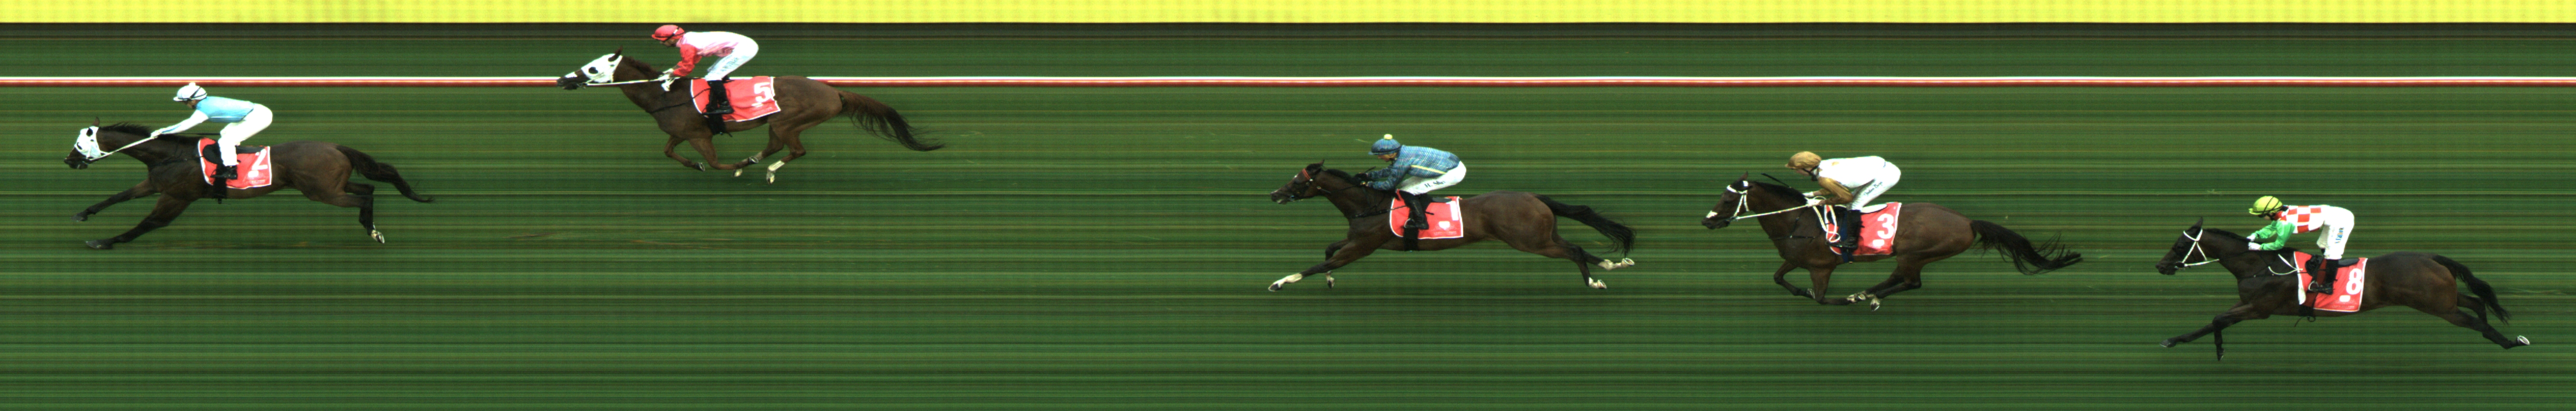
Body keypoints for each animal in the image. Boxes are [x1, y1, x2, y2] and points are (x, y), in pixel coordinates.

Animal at [61, 122, 435, 250]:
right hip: (329, 186)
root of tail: (336, 146)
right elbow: (116, 197)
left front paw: (104, 241)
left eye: (80, 143)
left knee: (362, 201)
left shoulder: (177, 196)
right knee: (368, 190)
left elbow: (148, 223)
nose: (68, 161)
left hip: (322, 192)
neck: (170, 156)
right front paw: (82, 214)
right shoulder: (154, 184)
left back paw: (373, 232)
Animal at [555, 50, 943, 183]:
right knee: (777, 147)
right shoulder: (681, 131)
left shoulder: (700, 135)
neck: (663, 95)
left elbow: (715, 163)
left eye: (592, 68)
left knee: (795, 150)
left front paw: (735, 166)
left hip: (789, 120)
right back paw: (758, 161)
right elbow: (668, 152)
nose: (561, 79)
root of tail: (835, 91)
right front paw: (699, 165)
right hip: (779, 123)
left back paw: (763, 168)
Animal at [1263, 162, 1638, 291]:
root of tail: (1533, 196)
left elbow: (1320, 263)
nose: (1274, 194)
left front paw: (1281, 281)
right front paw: (1329, 280)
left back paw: (1594, 281)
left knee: (1574, 251)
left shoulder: (1362, 247)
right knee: (1579, 249)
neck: (1368, 206)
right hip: (1543, 234)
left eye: (1298, 181)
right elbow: (1328, 251)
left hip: (1531, 241)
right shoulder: (1358, 240)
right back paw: (1612, 265)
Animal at [1700, 173, 2083, 309]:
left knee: (1911, 282)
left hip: (1917, 253)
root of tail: (1967, 221)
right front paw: (1804, 291)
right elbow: (1779, 278)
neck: (1798, 220)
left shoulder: (1822, 268)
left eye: (1728, 199)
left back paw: (1866, 296)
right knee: (1901, 279)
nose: (1707, 220)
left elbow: (1821, 299)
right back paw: (1868, 292)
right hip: (1909, 255)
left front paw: (1843, 298)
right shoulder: (1795, 259)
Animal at [2152, 219, 2530, 359]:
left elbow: (2218, 319)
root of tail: (2430, 256)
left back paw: (2510, 342)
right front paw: (2174, 340)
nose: (2160, 266)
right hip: (2443, 298)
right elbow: (2213, 321)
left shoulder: (2260, 309)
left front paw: (2216, 349)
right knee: (2476, 303)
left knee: (2475, 318)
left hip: (2439, 306)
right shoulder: (2249, 306)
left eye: (2179, 245)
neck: (2259, 266)